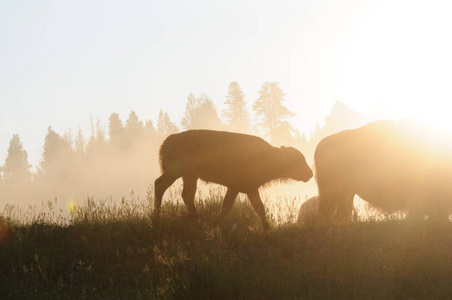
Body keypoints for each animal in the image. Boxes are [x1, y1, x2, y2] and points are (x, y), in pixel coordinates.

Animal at [154, 130, 312, 231]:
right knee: (160, 185)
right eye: (298, 160)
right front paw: (268, 229)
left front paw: (212, 224)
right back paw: (158, 219)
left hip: (190, 176)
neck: (269, 156)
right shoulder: (249, 188)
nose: (309, 174)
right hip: (175, 173)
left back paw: (196, 221)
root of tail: (169, 140)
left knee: (187, 195)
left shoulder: (236, 188)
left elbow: (227, 206)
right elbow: (259, 208)